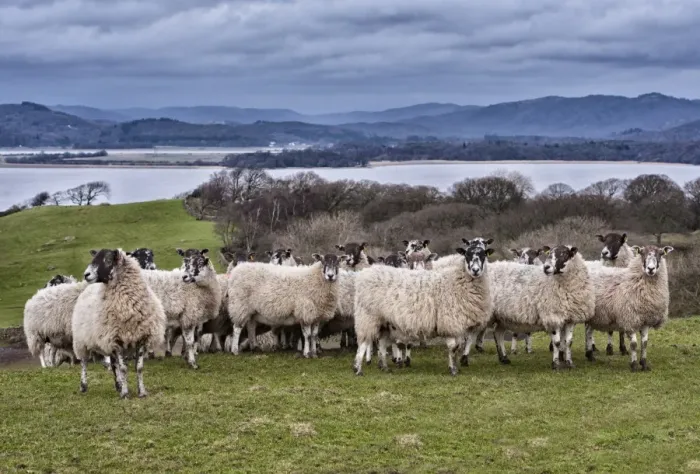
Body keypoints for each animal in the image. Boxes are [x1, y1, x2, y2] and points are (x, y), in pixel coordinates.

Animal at [72, 249, 166, 398]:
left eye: (108, 260)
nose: (86, 274)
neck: (127, 307)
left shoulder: (141, 338)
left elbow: (138, 368)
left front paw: (141, 392)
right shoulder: (117, 340)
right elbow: (123, 368)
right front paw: (126, 394)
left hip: (107, 340)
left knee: (113, 364)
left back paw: (118, 385)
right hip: (81, 341)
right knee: (84, 362)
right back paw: (83, 386)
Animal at [352, 245, 494, 376]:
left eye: (483, 255)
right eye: (467, 255)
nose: (475, 270)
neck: (456, 281)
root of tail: (365, 274)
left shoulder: (458, 325)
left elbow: (458, 348)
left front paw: (455, 367)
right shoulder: (449, 322)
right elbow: (453, 348)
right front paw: (453, 370)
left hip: (384, 322)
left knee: (381, 344)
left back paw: (384, 367)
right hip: (368, 317)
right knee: (363, 343)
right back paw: (358, 369)